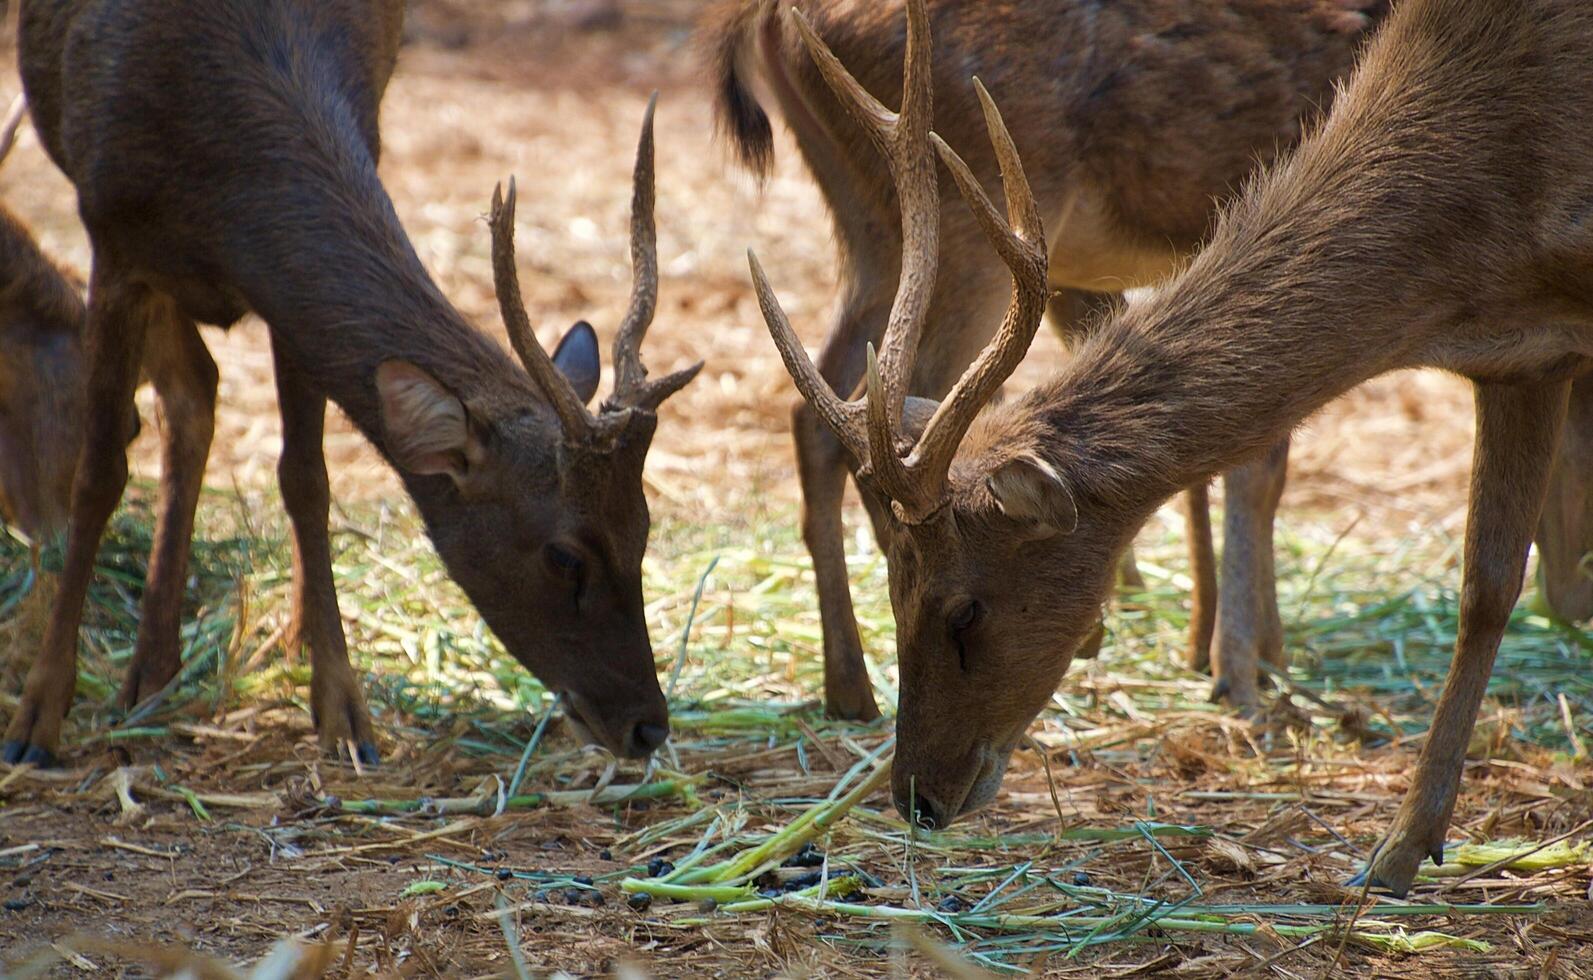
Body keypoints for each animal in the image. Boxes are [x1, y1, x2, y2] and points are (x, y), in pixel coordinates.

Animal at [1, 0, 697, 768]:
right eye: (565, 554)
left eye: (643, 529)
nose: (648, 726)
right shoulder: (112, 238)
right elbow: (98, 474)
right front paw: (37, 718)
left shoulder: (286, 297)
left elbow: (307, 480)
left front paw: (342, 709)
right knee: (188, 395)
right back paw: (149, 672)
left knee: (201, 394)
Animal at [710, 0, 1408, 720]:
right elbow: (1257, 463)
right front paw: (1240, 669)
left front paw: (1245, 650)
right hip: (974, 221)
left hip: (876, 231)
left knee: (820, 407)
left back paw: (850, 686)